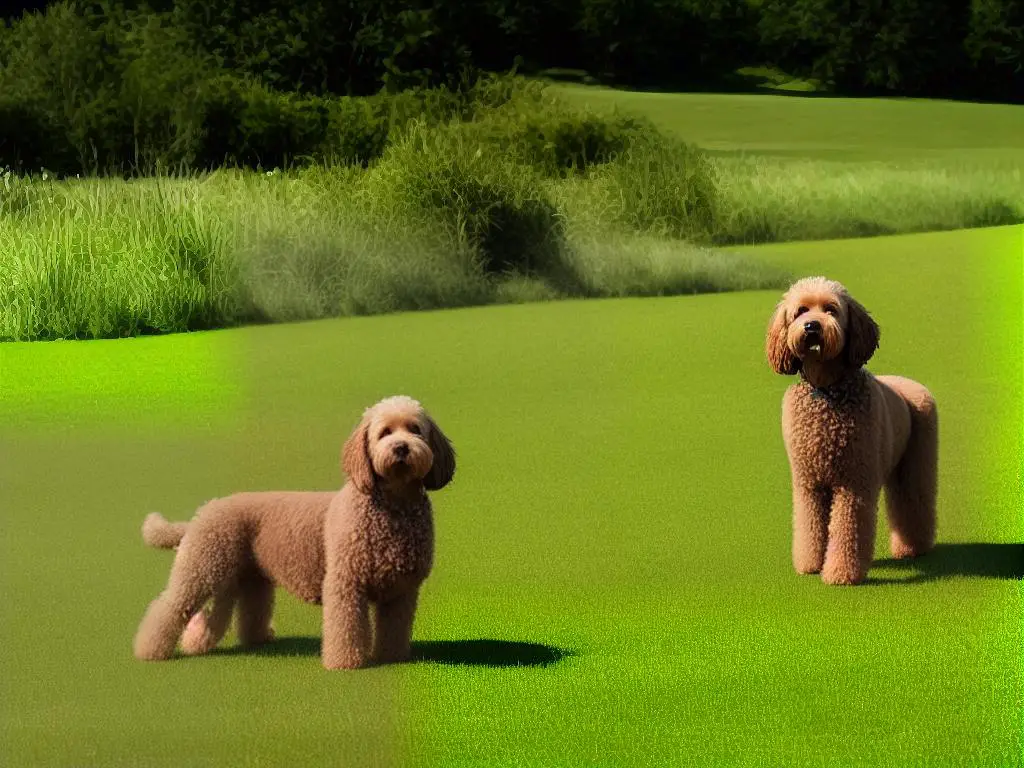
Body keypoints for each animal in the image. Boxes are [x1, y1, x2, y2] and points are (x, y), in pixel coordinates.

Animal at [132, 399, 456, 671]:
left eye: (415, 429)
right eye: (384, 433)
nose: (401, 447)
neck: (392, 507)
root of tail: (201, 513)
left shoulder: (402, 590)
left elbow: (394, 629)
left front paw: (391, 657)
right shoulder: (345, 583)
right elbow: (345, 629)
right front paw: (345, 663)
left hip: (242, 576)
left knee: (227, 614)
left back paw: (230, 642)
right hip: (202, 567)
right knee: (169, 606)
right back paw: (149, 651)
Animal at [765, 280, 937, 585]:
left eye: (831, 309)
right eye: (800, 311)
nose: (811, 326)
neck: (827, 390)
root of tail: (910, 383)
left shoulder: (854, 481)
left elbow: (848, 529)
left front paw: (841, 573)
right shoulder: (809, 482)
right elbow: (809, 526)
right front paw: (810, 564)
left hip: (917, 461)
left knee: (916, 501)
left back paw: (914, 548)